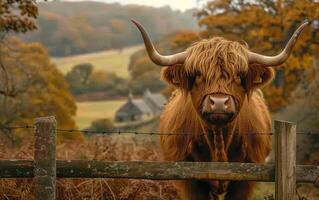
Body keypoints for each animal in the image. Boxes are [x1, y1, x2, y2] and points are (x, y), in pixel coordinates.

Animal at [132, 19, 310, 200]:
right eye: (198, 75)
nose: (218, 102)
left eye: (239, 75)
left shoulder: (246, 179)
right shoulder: (190, 180)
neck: (218, 145)